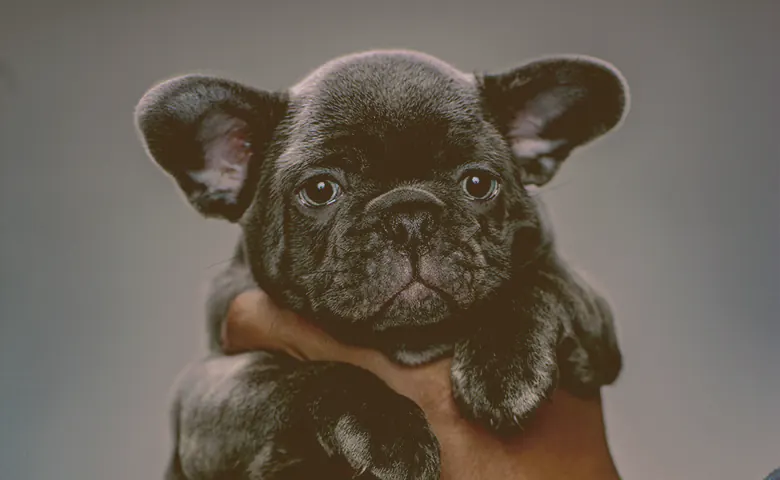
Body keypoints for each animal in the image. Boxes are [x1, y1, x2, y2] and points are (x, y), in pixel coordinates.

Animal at [136, 48, 628, 480]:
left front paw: (503, 366)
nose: (409, 215)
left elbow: (541, 283)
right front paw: (389, 430)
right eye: (320, 189)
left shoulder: (592, 317)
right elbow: (306, 375)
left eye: (478, 183)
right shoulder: (211, 396)